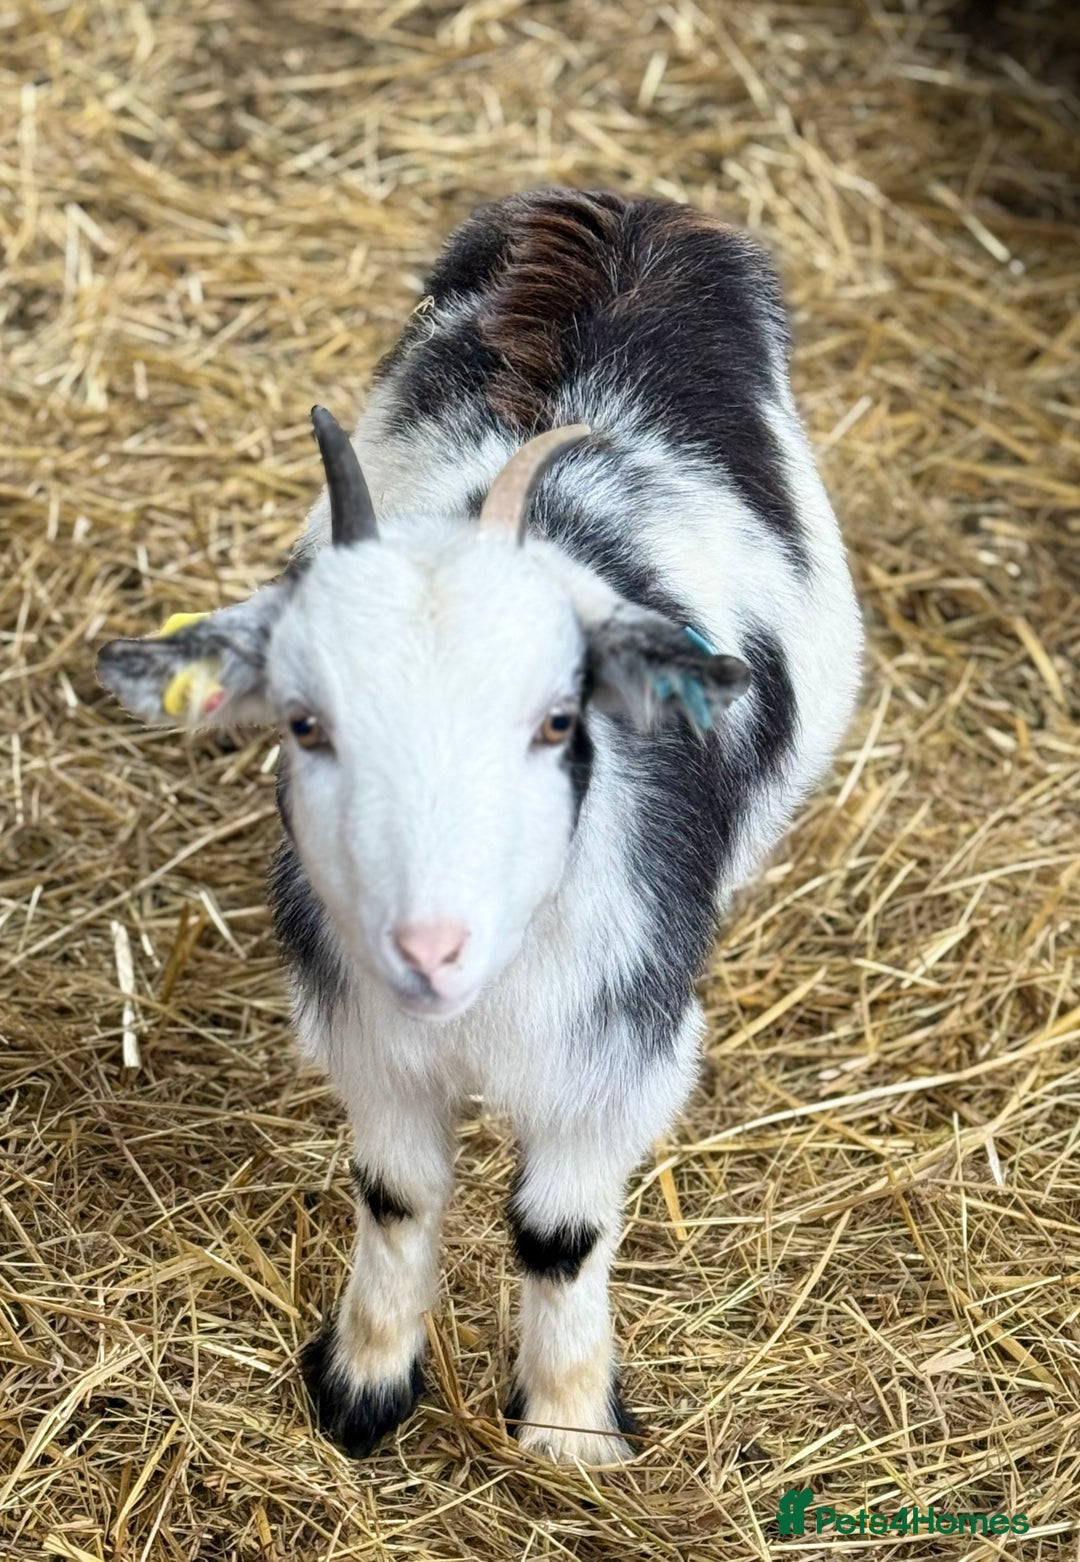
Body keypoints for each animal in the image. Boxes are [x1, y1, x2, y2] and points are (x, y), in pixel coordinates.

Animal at [97, 188, 862, 1465]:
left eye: (559, 717)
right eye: (305, 721)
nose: (429, 945)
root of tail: (622, 209)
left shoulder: (614, 1056)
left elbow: (559, 1232)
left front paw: (569, 1429)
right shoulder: (371, 1044)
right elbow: (397, 1195)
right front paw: (364, 1384)